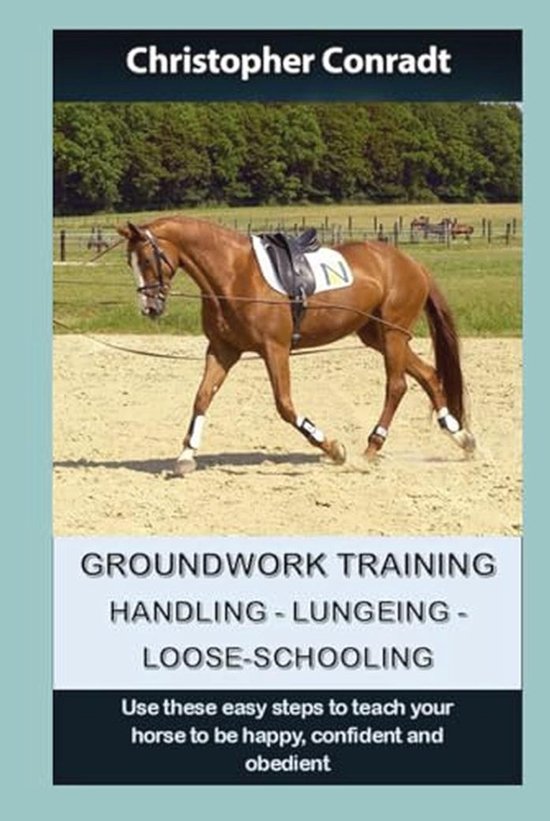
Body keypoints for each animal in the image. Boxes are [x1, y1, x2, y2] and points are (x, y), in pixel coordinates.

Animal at [117, 216, 475, 475]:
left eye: (147, 259)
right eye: (129, 263)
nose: (150, 308)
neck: (234, 273)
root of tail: (412, 264)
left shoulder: (274, 349)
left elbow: (285, 406)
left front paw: (333, 448)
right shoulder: (222, 350)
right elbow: (202, 397)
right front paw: (186, 455)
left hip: (393, 335)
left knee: (397, 385)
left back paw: (372, 447)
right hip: (376, 335)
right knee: (428, 375)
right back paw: (460, 437)